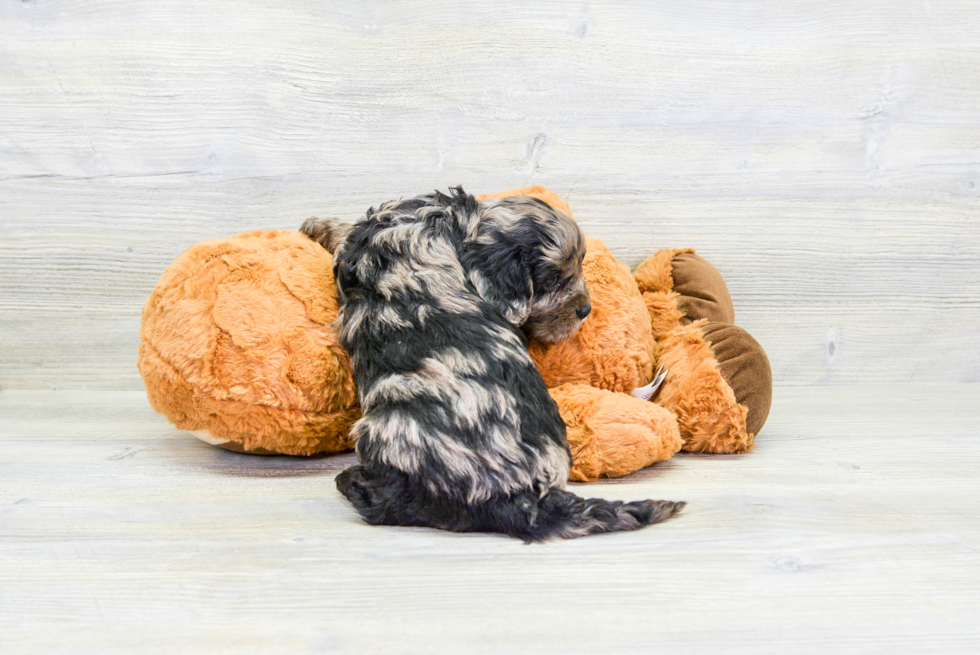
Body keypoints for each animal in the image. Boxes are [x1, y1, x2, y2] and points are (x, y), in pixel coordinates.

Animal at [302, 187, 684, 540]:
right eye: (554, 280)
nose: (585, 309)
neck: (451, 222)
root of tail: (526, 499)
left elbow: (343, 234)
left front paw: (318, 226)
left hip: (387, 430)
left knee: (399, 503)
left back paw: (354, 484)